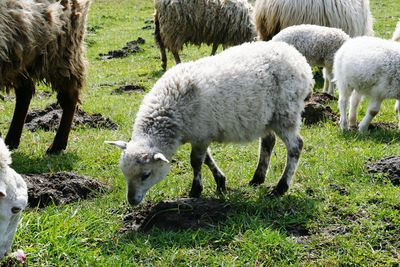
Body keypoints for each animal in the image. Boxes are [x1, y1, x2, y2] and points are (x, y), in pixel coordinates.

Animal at [0, 0, 90, 155]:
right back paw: (11, 141)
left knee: (70, 96)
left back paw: (56, 146)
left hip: (64, 44)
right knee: (25, 93)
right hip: (24, 52)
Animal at [107, 40, 316, 206]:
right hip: (267, 117)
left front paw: (196, 190)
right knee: (268, 142)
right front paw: (220, 182)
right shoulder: (201, 134)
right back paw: (257, 178)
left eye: (146, 175)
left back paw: (280, 187)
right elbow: (207, 159)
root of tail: (298, 58)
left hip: (286, 112)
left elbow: (196, 161)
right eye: (124, 173)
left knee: (296, 146)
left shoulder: (200, 134)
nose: (132, 201)